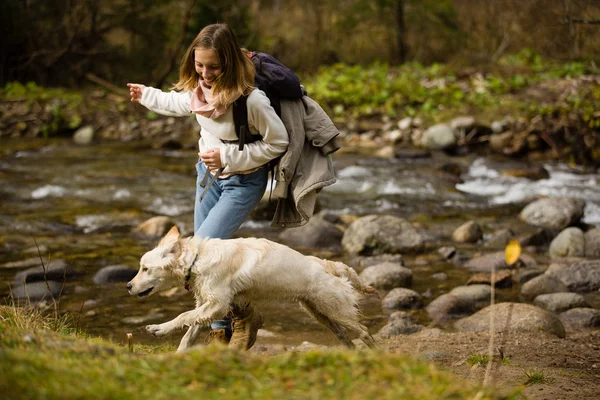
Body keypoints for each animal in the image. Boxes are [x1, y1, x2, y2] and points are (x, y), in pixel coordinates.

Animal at [127, 227, 376, 352]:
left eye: (145, 268)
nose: (128, 286)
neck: (196, 259)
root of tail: (327, 264)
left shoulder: (217, 303)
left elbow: (183, 316)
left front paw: (159, 328)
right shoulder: (208, 304)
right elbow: (190, 330)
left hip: (335, 309)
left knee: (363, 330)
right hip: (319, 312)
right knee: (344, 335)